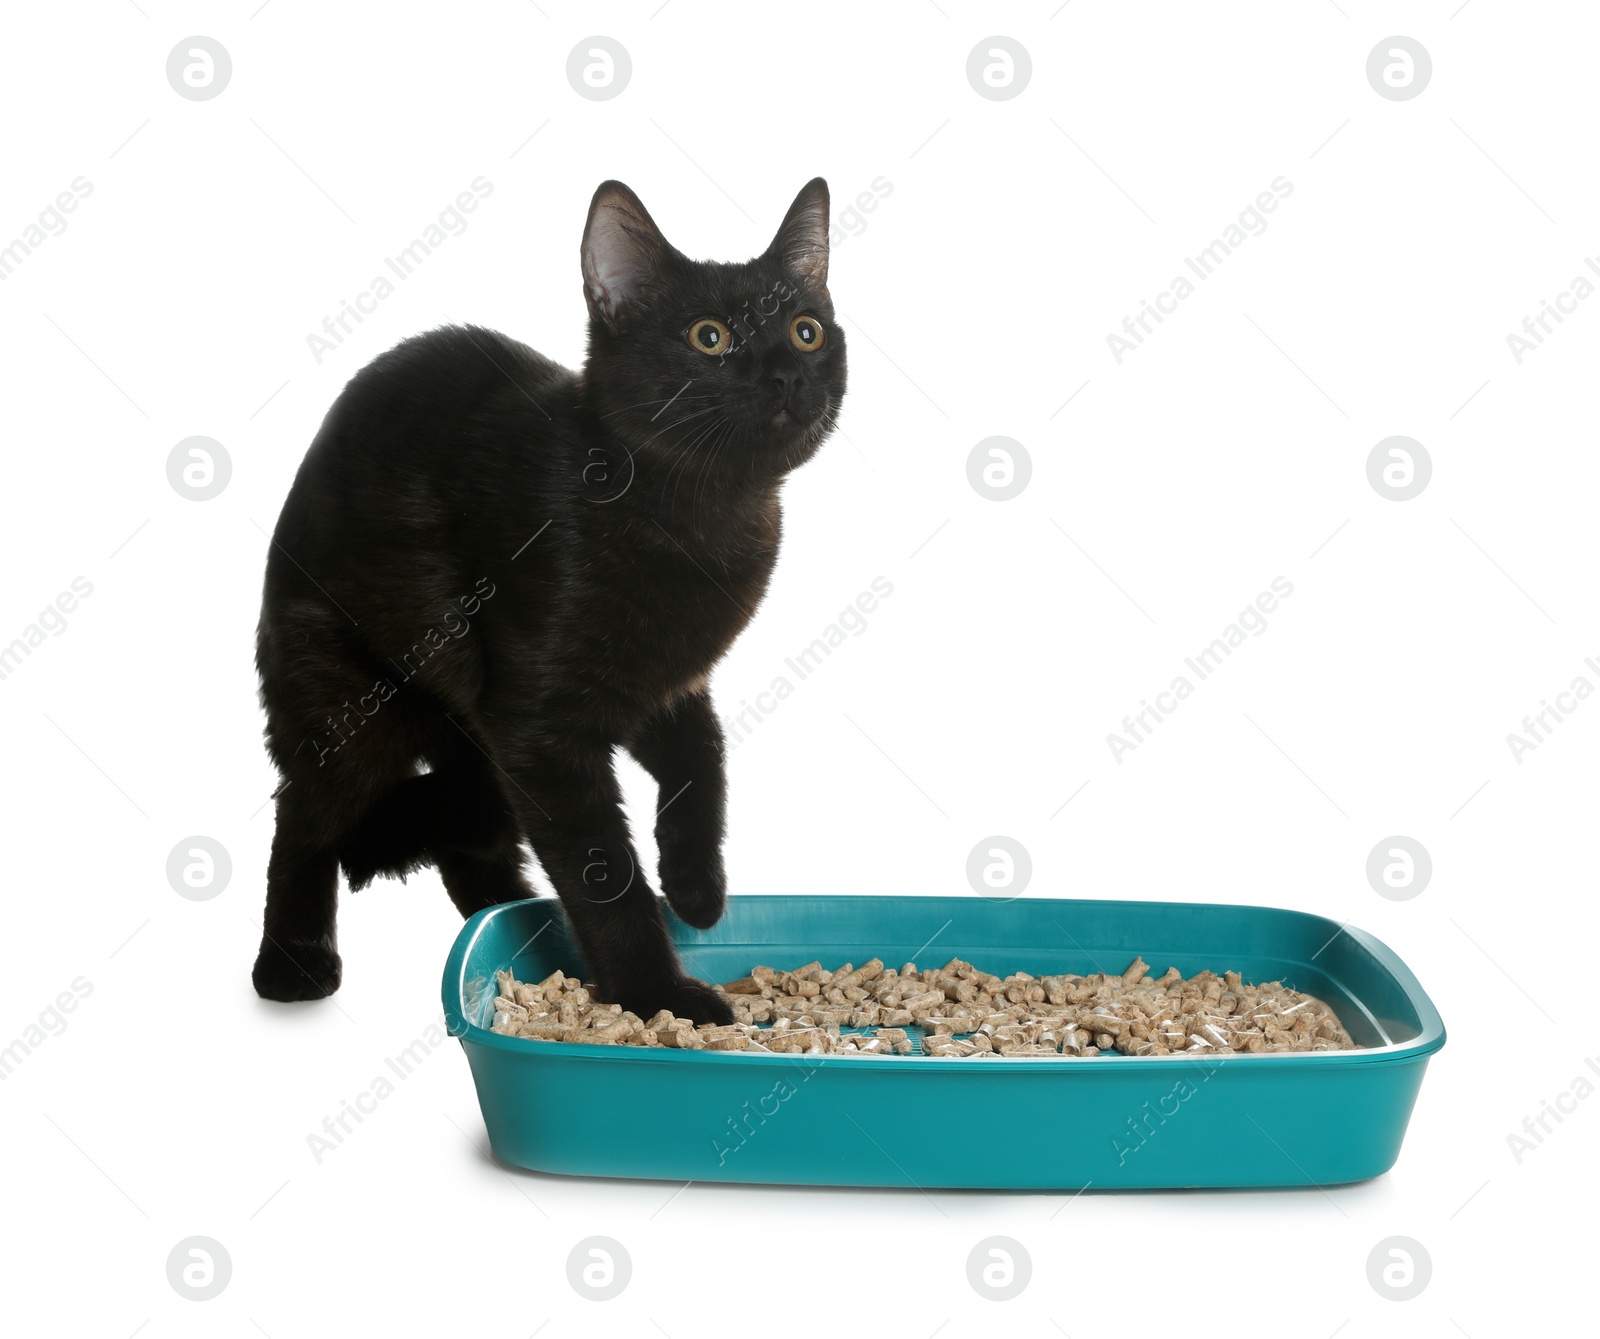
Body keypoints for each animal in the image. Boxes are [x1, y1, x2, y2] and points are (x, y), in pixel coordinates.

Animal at [249, 175, 844, 1011]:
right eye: (709, 338)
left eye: (805, 330)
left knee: (468, 838)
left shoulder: (656, 684)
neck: (703, 517)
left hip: (469, 740)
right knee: (304, 813)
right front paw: (660, 993)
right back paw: (294, 961)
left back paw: (520, 925)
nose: (789, 374)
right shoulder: (542, 723)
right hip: (346, 701)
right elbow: (602, 866)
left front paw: (695, 888)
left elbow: (705, 755)